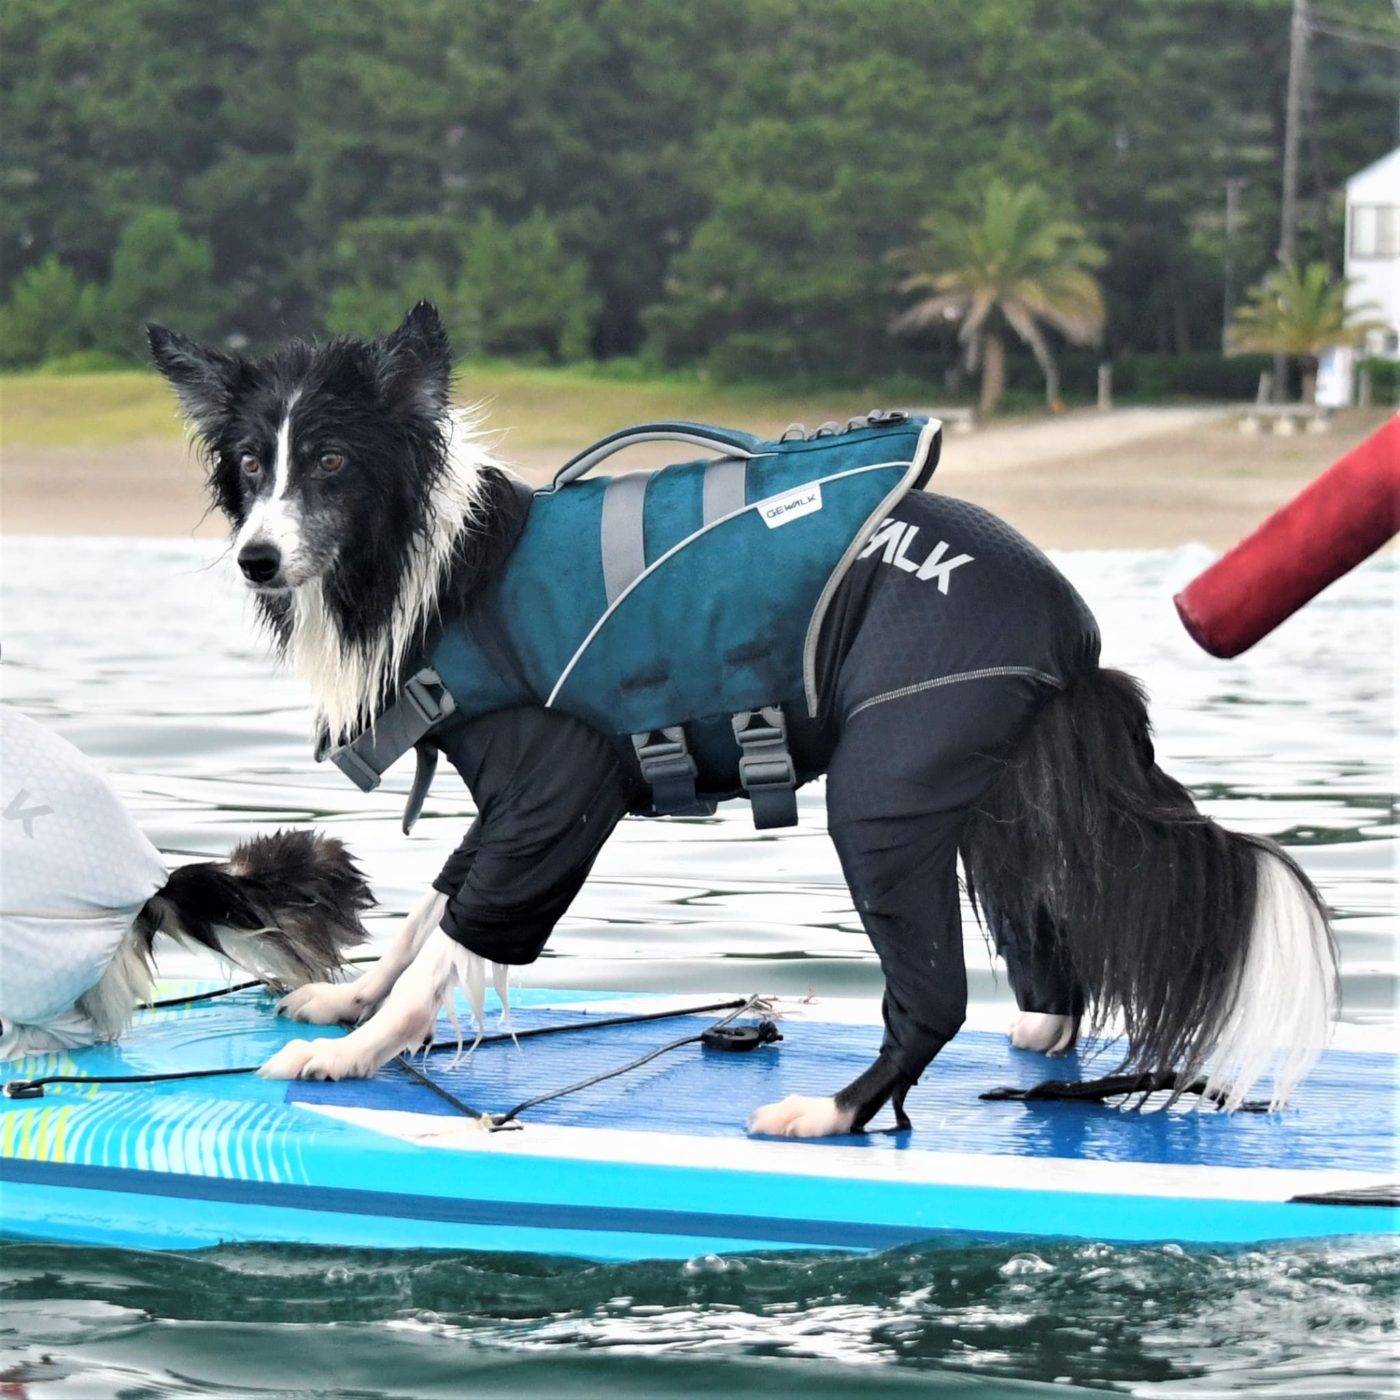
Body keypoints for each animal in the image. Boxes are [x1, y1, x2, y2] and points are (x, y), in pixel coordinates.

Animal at [147, 304, 1339, 1137]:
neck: (438, 564)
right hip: (992, 800)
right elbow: (429, 912)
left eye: (332, 463)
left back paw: (835, 1113)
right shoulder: (502, 804)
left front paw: (361, 1053)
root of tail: (1066, 618)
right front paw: (352, 998)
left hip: (886, 794)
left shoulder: (556, 795)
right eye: (251, 465)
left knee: (934, 994)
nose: (257, 555)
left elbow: (460, 934)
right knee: (1044, 938)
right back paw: (1040, 1041)